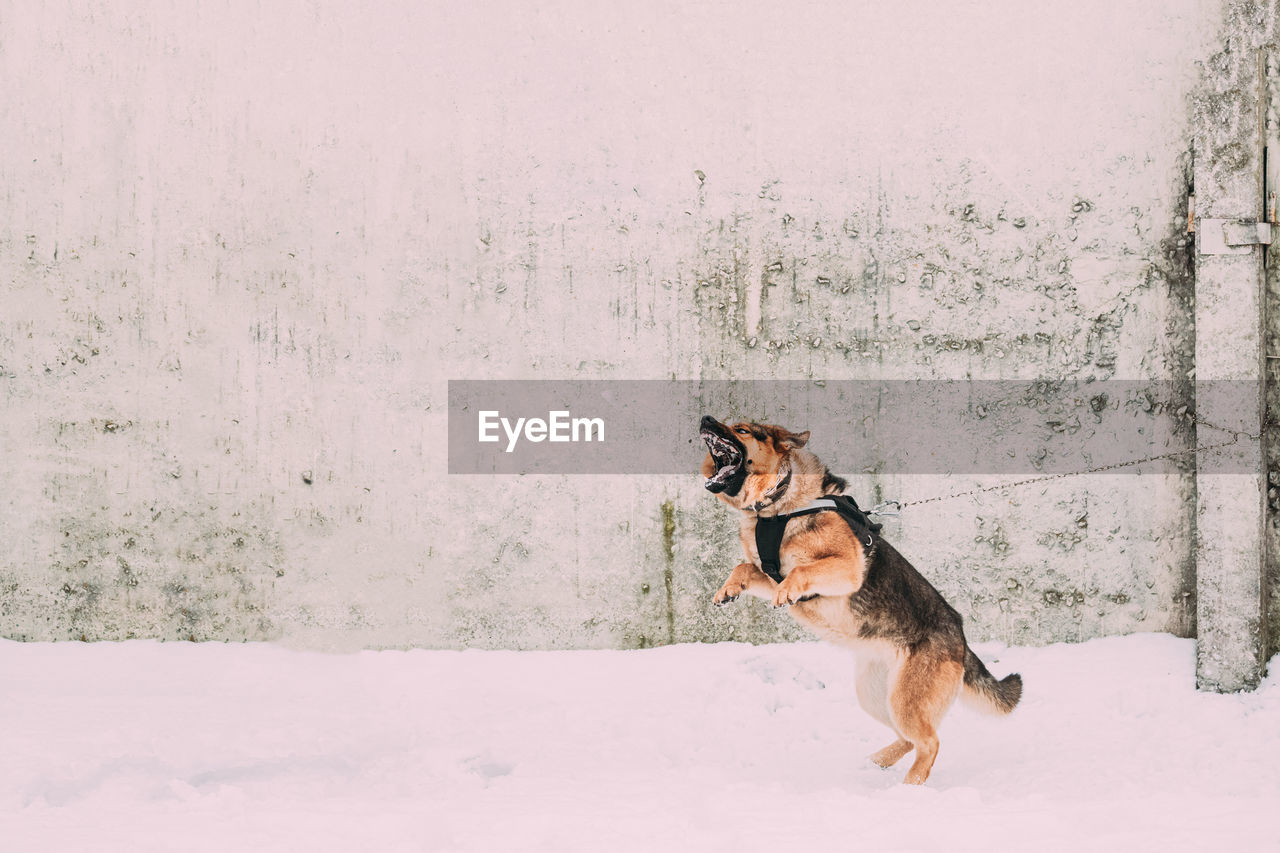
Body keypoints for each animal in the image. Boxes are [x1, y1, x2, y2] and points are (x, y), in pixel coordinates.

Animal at [701, 414, 1018, 778]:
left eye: (741, 430)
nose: (705, 418)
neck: (776, 508)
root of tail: (961, 640)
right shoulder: (769, 572)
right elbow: (745, 567)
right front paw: (729, 588)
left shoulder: (848, 567)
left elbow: (800, 573)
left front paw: (787, 592)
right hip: (875, 695)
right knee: (910, 739)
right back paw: (877, 762)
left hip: (905, 700)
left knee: (930, 743)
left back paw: (908, 785)